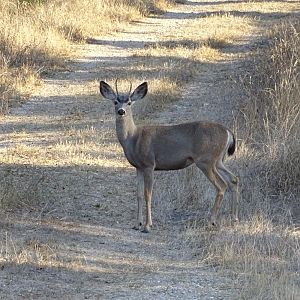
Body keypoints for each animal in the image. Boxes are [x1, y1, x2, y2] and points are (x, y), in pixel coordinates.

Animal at [99, 80, 240, 234]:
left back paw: (212, 221)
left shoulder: (149, 164)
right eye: (115, 102)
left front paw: (147, 226)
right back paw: (234, 218)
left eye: (129, 102)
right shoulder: (138, 167)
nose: (121, 111)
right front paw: (137, 224)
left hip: (206, 160)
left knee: (221, 185)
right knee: (233, 179)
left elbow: (148, 194)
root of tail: (228, 132)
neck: (132, 138)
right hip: (218, 160)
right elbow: (138, 195)